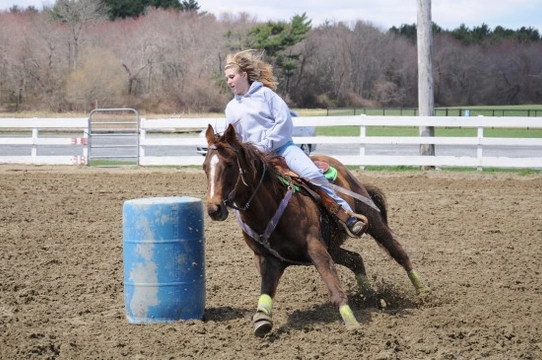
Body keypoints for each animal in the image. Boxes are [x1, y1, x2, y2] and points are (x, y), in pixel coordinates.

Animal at [202, 124, 432, 338]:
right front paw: (262, 319)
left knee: (398, 253)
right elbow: (266, 291)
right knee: (356, 259)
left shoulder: (316, 248)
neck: (270, 206)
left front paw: (352, 324)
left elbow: (333, 285)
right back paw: (369, 296)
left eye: (229, 164)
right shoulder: (267, 258)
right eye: (205, 167)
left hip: (371, 220)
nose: (214, 208)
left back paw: (424, 293)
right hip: (333, 246)